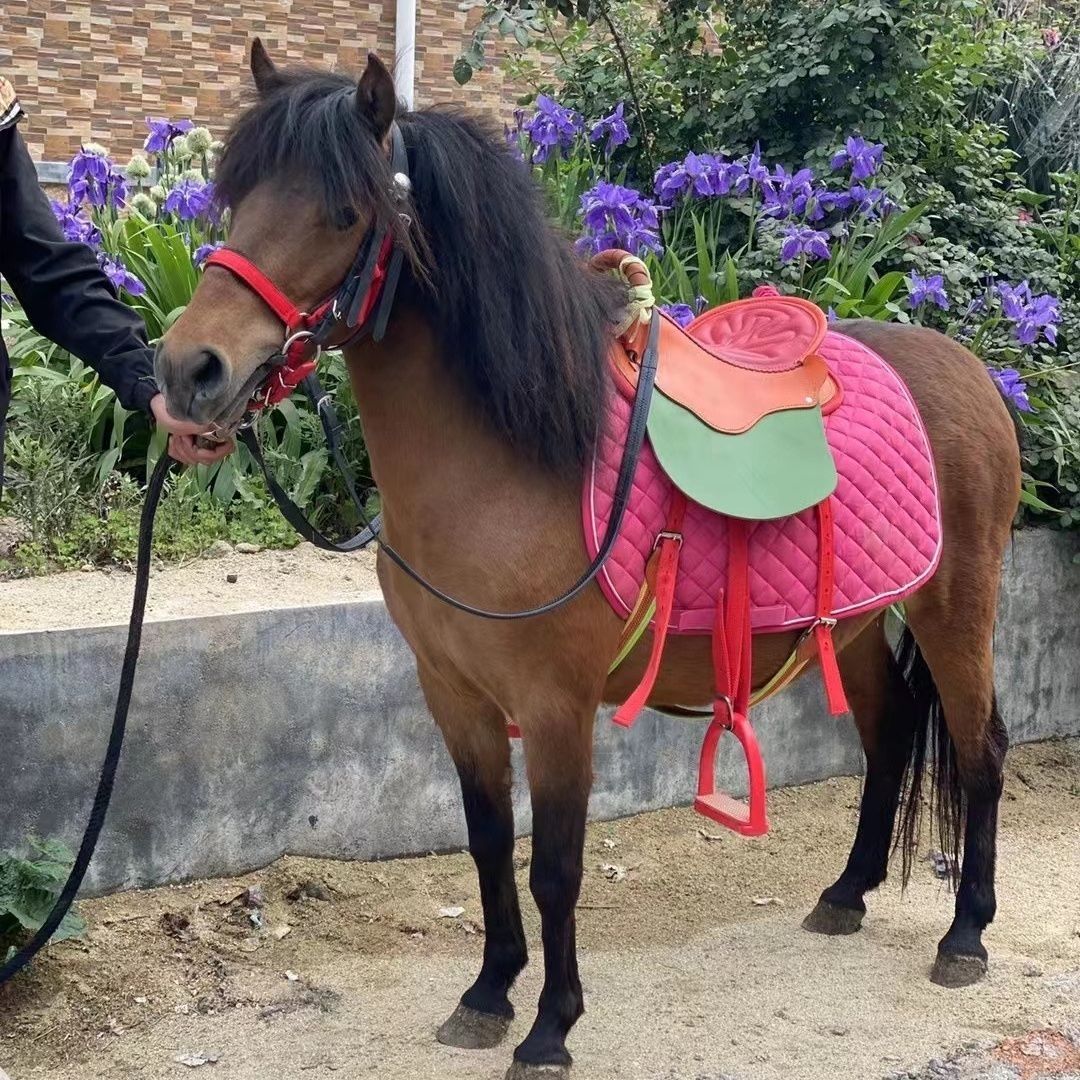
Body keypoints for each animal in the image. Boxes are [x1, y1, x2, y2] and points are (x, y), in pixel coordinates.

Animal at [154, 43, 1021, 1079]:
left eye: (344, 213)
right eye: (233, 197)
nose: (189, 369)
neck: (515, 458)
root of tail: (971, 371)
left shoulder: (555, 707)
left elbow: (555, 867)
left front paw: (550, 1027)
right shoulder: (455, 695)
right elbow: (490, 845)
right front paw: (488, 993)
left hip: (956, 611)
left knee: (980, 750)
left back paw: (966, 934)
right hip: (849, 628)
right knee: (889, 739)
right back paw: (845, 894)